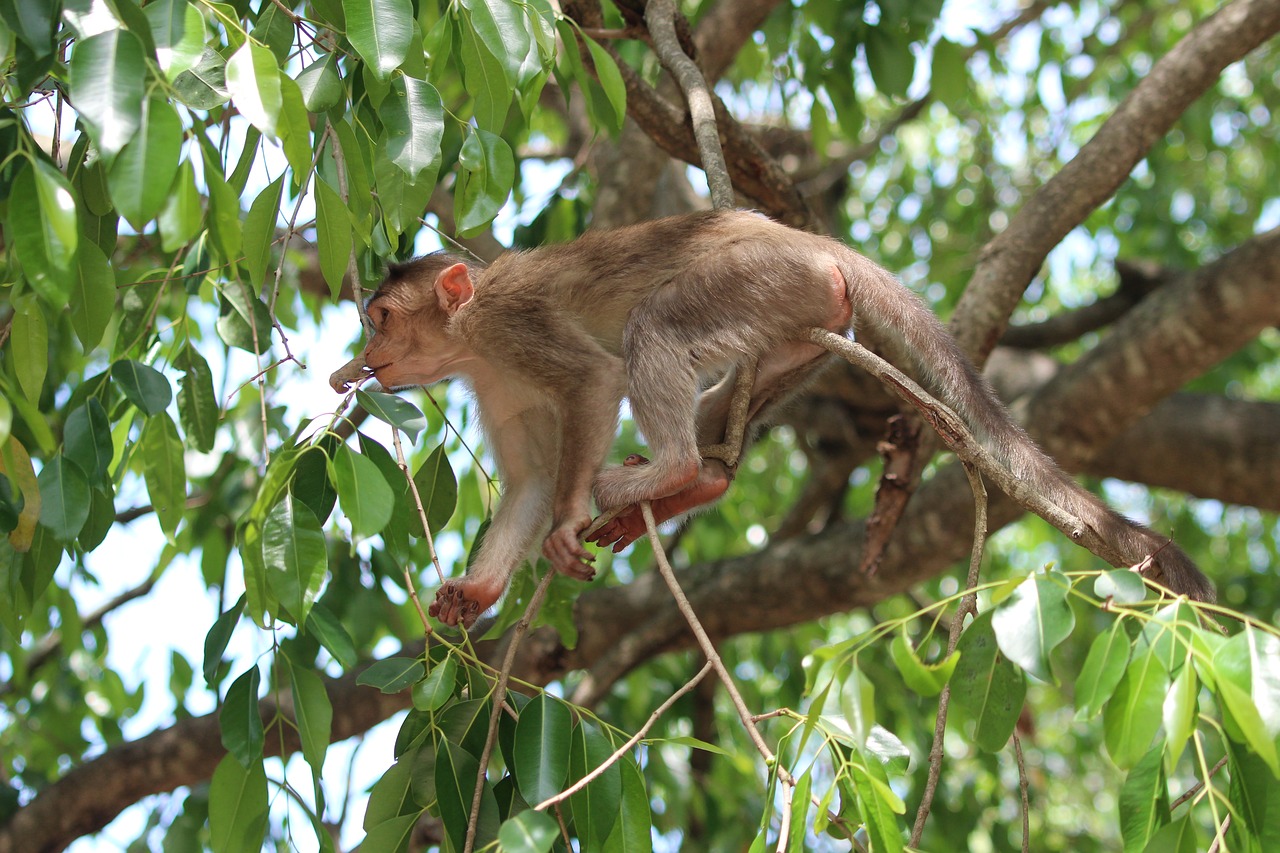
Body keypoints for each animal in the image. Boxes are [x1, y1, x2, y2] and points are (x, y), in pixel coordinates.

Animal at [330, 208, 1208, 627]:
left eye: (382, 317)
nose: (359, 355)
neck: (472, 338)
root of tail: (806, 238)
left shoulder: (515, 327)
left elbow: (593, 380)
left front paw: (570, 518)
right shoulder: (494, 382)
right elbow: (533, 477)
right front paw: (477, 591)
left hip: (757, 276)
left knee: (656, 327)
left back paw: (670, 472)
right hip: (791, 320)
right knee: (720, 393)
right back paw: (700, 484)